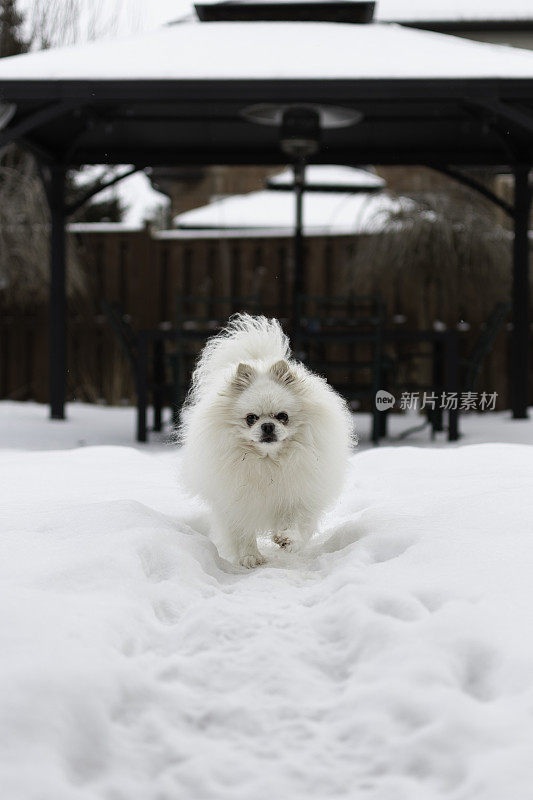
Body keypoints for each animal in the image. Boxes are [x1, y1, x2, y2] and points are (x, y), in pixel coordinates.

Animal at [178, 314, 354, 568]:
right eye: (251, 418)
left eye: (283, 416)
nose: (268, 426)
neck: (269, 462)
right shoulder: (236, 503)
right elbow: (242, 532)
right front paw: (250, 557)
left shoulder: (300, 493)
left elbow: (296, 521)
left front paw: (287, 539)